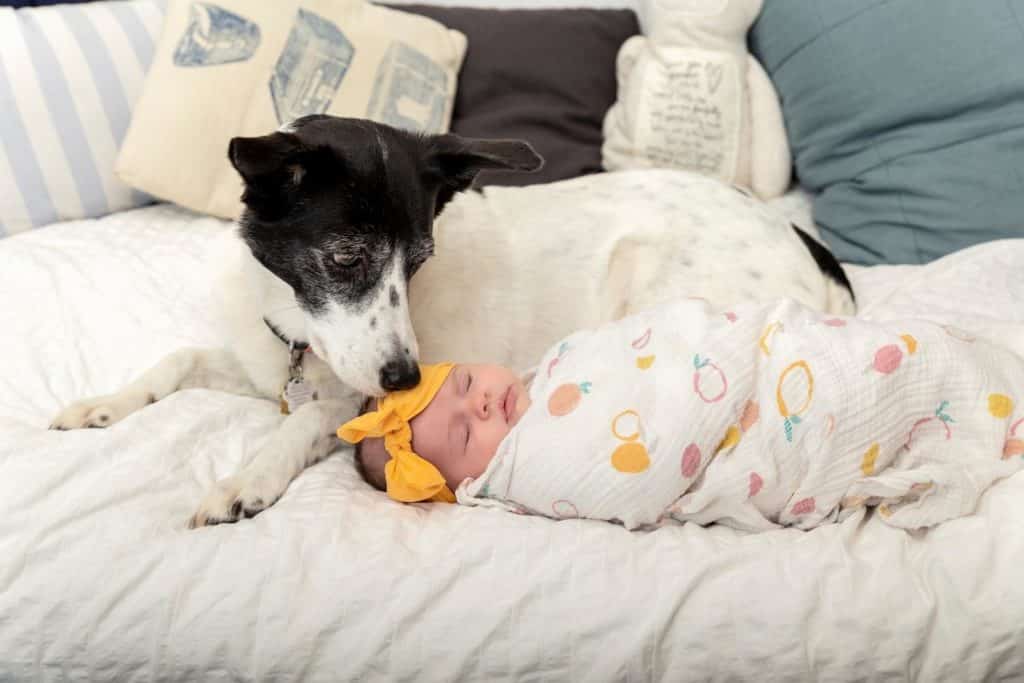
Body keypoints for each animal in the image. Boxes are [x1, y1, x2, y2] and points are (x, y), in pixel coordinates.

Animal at [48, 116, 851, 528]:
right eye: (347, 256)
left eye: (420, 261)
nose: (407, 379)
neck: (295, 325)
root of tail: (802, 241)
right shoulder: (263, 361)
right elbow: (176, 360)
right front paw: (101, 405)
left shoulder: (348, 397)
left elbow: (300, 424)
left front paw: (246, 478)